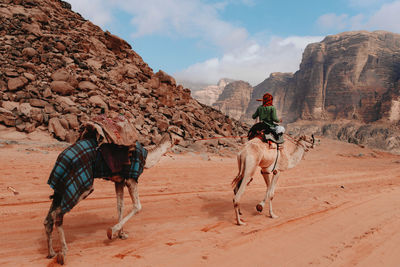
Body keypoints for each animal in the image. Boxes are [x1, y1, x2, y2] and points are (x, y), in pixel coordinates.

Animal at [43, 133, 178, 264]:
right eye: (178, 134)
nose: (179, 140)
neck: (146, 158)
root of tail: (61, 157)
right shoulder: (131, 179)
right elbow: (137, 206)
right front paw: (111, 231)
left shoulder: (119, 181)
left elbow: (120, 205)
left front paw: (122, 234)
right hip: (83, 186)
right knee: (57, 214)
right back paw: (63, 253)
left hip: (60, 187)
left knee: (48, 218)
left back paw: (51, 253)